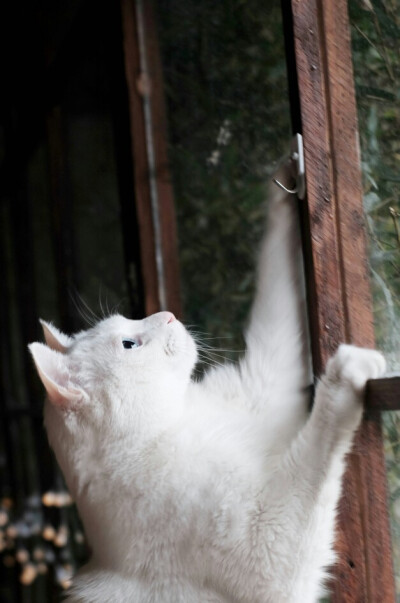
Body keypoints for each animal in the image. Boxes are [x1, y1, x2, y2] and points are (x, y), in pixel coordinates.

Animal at [28, 163, 384, 600]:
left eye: (130, 320)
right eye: (130, 343)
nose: (166, 314)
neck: (174, 421)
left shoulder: (264, 383)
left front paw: (283, 185)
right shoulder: (269, 548)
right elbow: (319, 444)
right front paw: (348, 370)